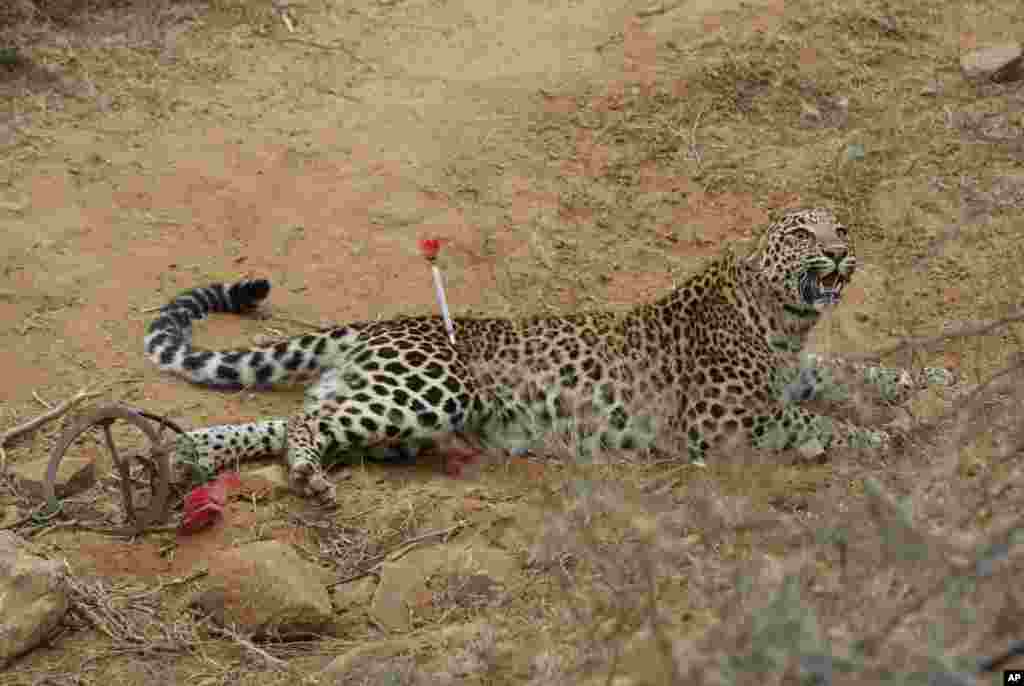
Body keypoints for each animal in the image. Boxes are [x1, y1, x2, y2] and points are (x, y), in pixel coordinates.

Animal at [148, 205, 954, 505]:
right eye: (803, 234)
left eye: (841, 227)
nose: (840, 253)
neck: (783, 319)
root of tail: (377, 325)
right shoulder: (723, 423)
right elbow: (820, 424)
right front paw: (892, 432)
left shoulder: (803, 373)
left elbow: (857, 371)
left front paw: (934, 378)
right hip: (428, 390)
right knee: (303, 427)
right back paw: (305, 477)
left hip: (386, 409)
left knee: (282, 421)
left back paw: (191, 456)